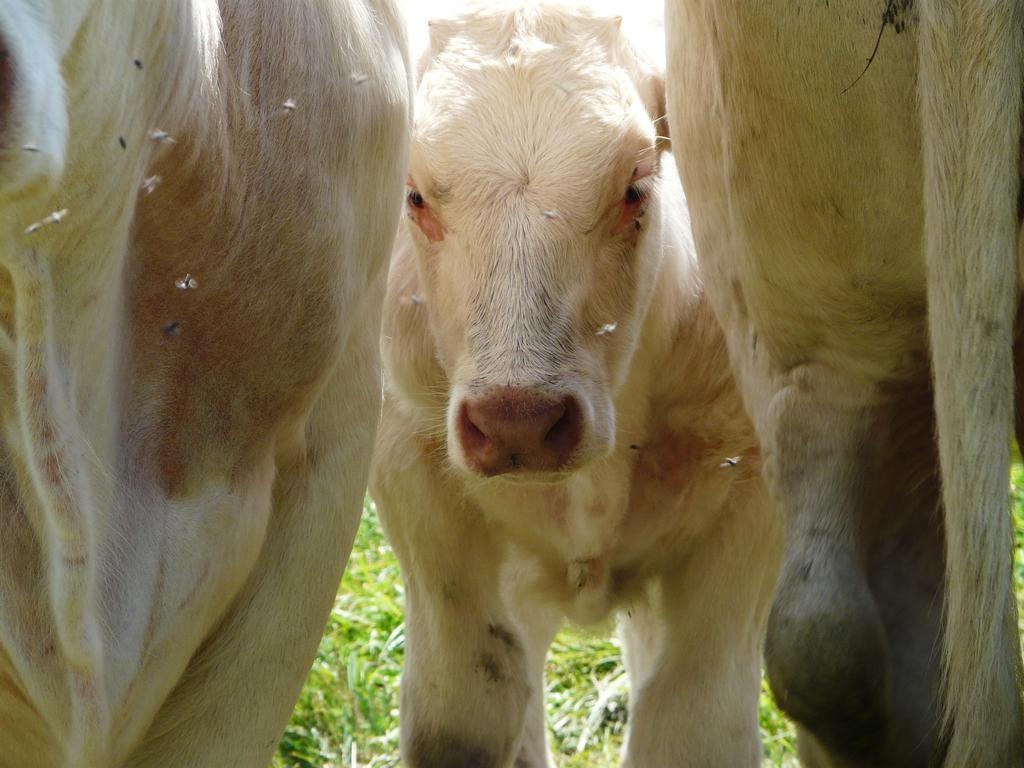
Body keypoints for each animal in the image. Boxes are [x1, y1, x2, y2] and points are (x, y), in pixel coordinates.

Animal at [372, 3, 778, 765]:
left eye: (635, 188)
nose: (519, 422)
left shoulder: (751, 493)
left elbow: (693, 722)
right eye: (414, 195)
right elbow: (466, 705)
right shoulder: (412, 473)